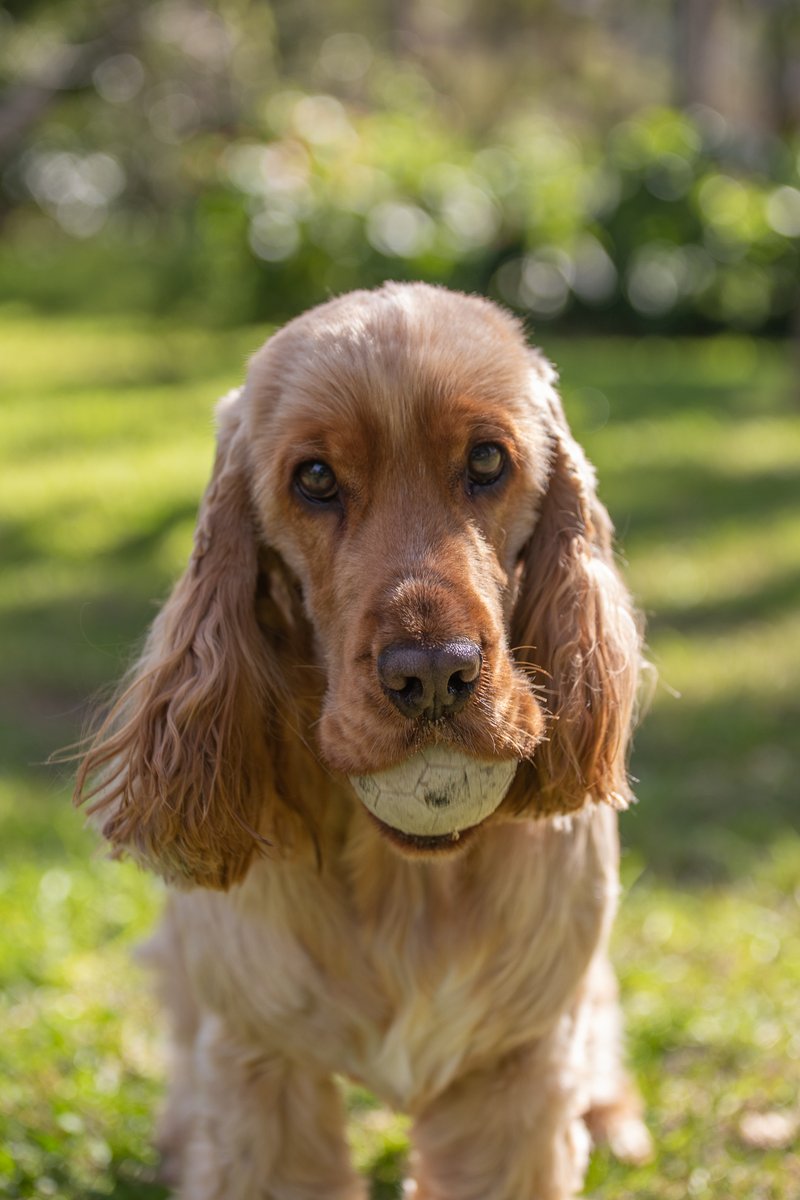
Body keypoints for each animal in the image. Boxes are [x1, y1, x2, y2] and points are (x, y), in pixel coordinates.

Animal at [76, 285, 652, 1195]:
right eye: (314, 478)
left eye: (486, 461)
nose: (433, 674)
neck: (405, 883)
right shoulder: (261, 1070)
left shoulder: (515, 1070)